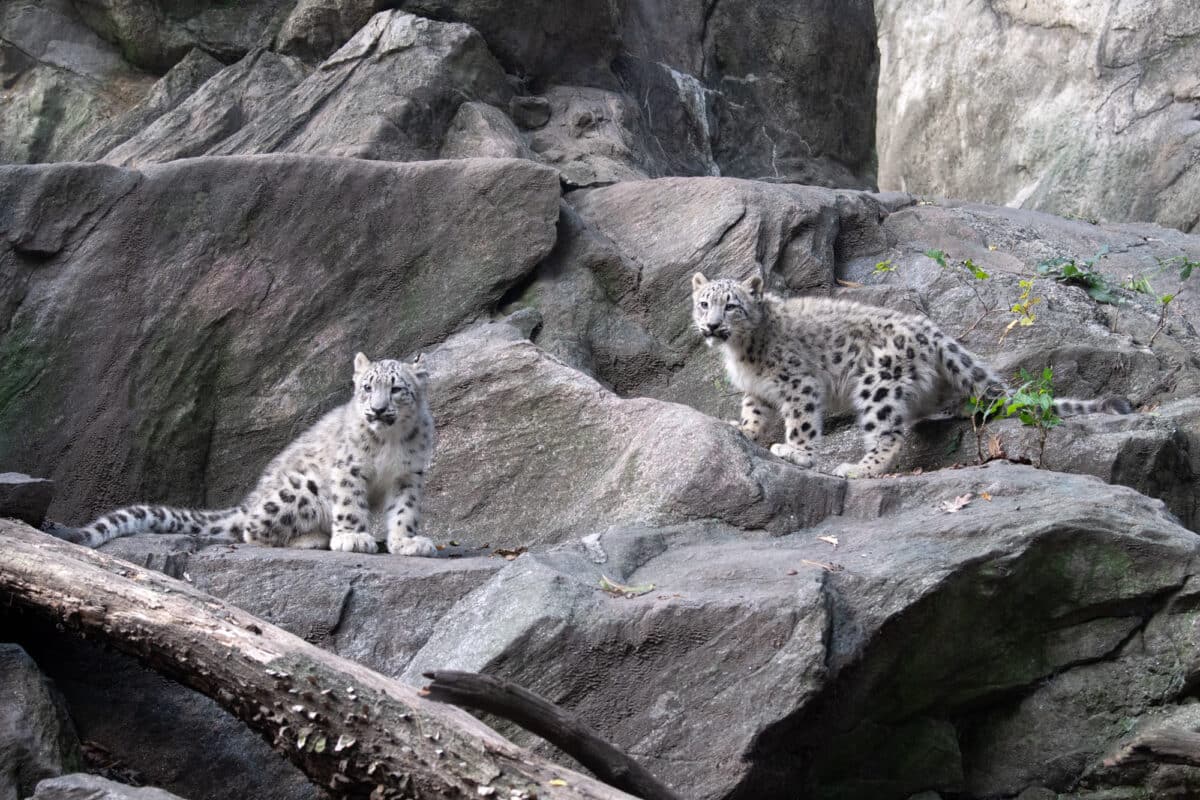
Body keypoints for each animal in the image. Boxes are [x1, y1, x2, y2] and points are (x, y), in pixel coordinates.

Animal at [63, 352, 438, 555]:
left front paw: (408, 542)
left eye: (396, 389)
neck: (389, 440)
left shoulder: (408, 474)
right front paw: (352, 537)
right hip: (302, 487)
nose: (377, 410)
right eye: (367, 387)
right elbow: (350, 503)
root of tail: (249, 501)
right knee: (253, 530)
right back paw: (315, 538)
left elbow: (404, 511)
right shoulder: (349, 468)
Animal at [691, 272, 1133, 478]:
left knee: (888, 434)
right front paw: (743, 430)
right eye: (703, 303)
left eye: (732, 305)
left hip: (876, 383)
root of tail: (928, 328)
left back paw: (858, 468)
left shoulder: (800, 383)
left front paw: (795, 451)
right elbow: (752, 412)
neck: (741, 353)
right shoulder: (756, 389)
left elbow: (801, 422)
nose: (711, 326)